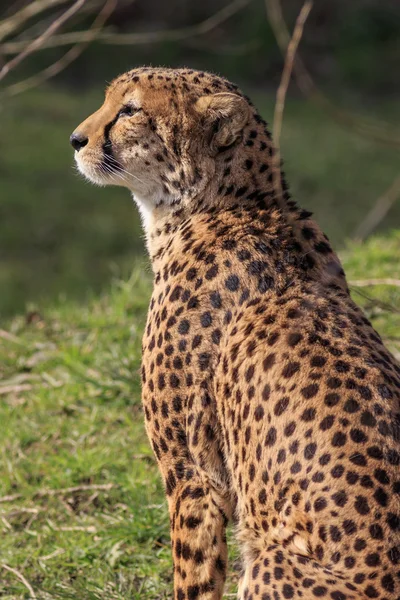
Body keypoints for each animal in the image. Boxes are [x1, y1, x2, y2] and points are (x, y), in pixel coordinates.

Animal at [71, 67, 400, 600]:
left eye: (130, 110)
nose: (76, 139)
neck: (229, 206)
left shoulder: (191, 475)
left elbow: (193, 578)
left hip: (271, 561)